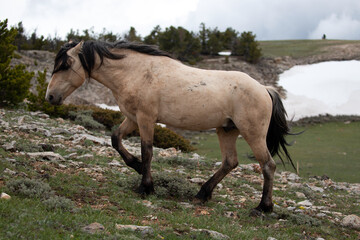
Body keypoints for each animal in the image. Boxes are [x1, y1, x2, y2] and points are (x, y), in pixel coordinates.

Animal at [46, 40, 294, 214]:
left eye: (66, 64)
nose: (50, 97)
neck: (135, 72)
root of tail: (264, 89)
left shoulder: (145, 118)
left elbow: (147, 150)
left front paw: (146, 187)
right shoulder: (133, 118)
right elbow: (116, 139)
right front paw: (136, 166)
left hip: (252, 133)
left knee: (268, 166)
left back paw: (263, 208)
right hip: (227, 130)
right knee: (230, 162)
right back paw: (202, 194)